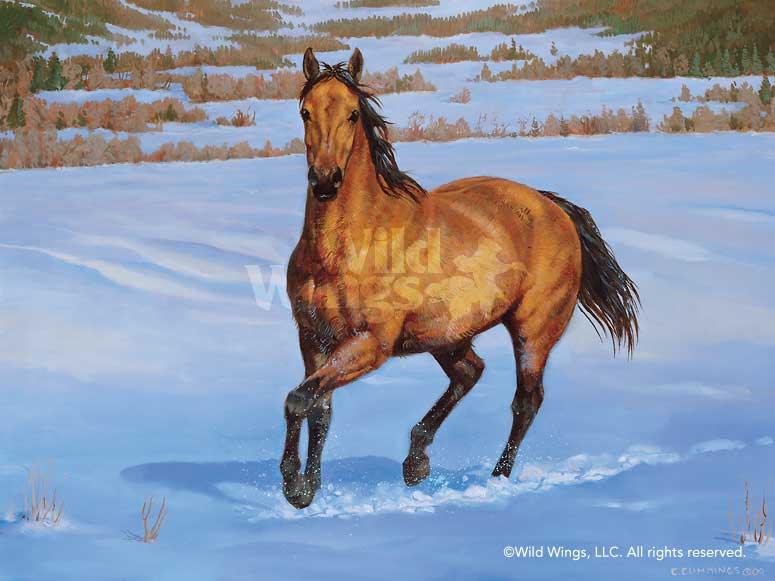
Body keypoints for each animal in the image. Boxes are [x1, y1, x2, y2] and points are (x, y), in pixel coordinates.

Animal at [280, 47, 640, 509]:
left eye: (352, 114)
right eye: (305, 112)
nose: (325, 180)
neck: (344, 249)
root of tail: (551, 206)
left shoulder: (370, 344)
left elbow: (299, 400)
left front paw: (293, 484)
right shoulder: (314, 338)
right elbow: (317, 408)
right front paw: (307, 488)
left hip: (533, 331)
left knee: (526, 401)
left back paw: (496, 478)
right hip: (446, 336)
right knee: (471, 371)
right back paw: (416, 463)